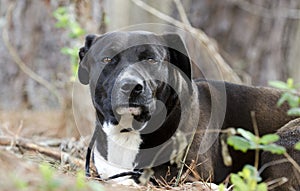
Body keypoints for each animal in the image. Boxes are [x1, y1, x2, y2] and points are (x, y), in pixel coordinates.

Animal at [77, 30, 298, 189]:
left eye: (151, 59)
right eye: (107, 59)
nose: (131, 86)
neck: (128, 132)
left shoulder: (186, 173)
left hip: (284, 138)